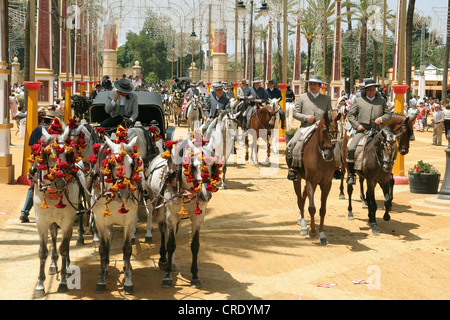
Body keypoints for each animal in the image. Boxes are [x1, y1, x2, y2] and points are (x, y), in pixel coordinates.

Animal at [31, 124, 87, 298]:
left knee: (66, 244)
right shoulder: (41, 222)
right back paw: (53, 264)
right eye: (47, 154)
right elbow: (43, 251)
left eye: (67, 154)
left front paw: (62, 282)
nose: (60, 182)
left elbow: (64, 248)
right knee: (54, 237)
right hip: (52, 222)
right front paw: (40, 286)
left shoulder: (68, 220)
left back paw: (66, 267)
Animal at [92, 134, 146, 294]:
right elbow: (103, 248)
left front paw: (128, 282)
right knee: (109, 240)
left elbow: (127, 249)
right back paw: (105, 268)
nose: (124, 193)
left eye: (132, 164)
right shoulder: (100, 221)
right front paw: (101, 280)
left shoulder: (129, 220)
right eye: (111, 164)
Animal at [145, 135, 221, 288]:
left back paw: (172, 262)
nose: (205, 195)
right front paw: (167, 276)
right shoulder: (171, 216)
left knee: (172, 233)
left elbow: (195, 246)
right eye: (193, 166)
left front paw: (195, 276)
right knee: (163, 231)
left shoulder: (198, 218)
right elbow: (171, 244)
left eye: (212, 166)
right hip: (159, 207)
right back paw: (163, 260)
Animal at [290, 112, 336, 245]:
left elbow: (322, 210)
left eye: (336, 131)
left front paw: (322, 235)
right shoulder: (311, 181)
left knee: (304, 195)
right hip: (297, 179)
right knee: (300, 200)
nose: (329, 155)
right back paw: (304, 227)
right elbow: (312, 208)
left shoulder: (326, 184)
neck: (321, 159)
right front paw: (313, 231)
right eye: (324, 130)